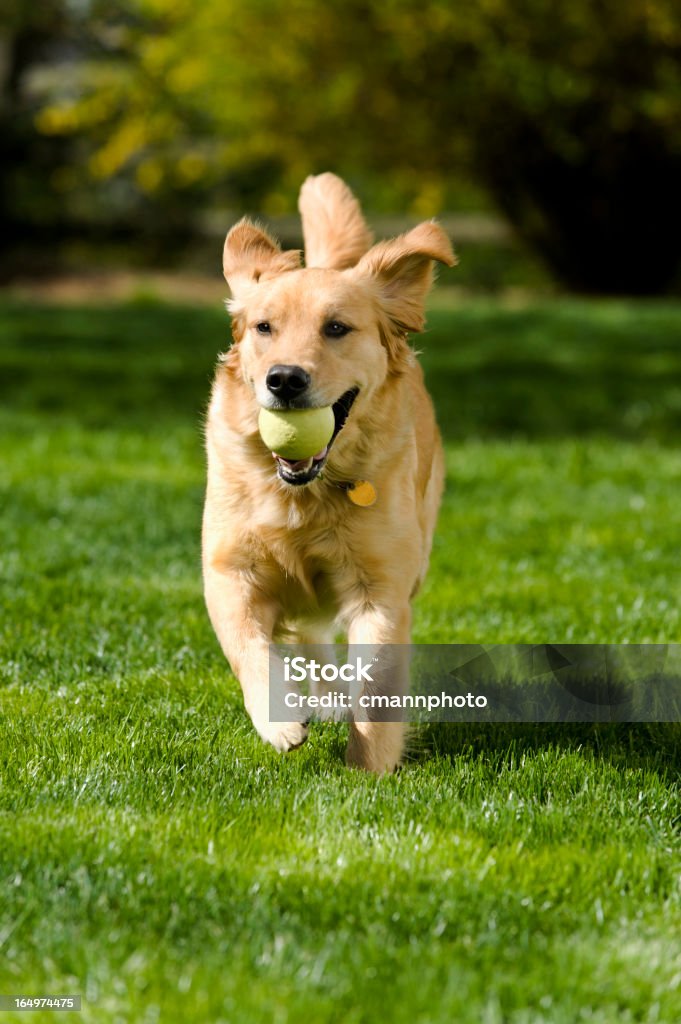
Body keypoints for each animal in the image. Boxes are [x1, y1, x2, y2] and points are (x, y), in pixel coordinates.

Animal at [202, 172, 456, 770]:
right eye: (264, 327)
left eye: (337, 327)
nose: (284, 379)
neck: (302, 492)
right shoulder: (227, 571)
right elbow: (248, 649)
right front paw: (279, 719)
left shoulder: (381, 589)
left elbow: (377, 685)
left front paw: (368, 771)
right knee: (309, 636)